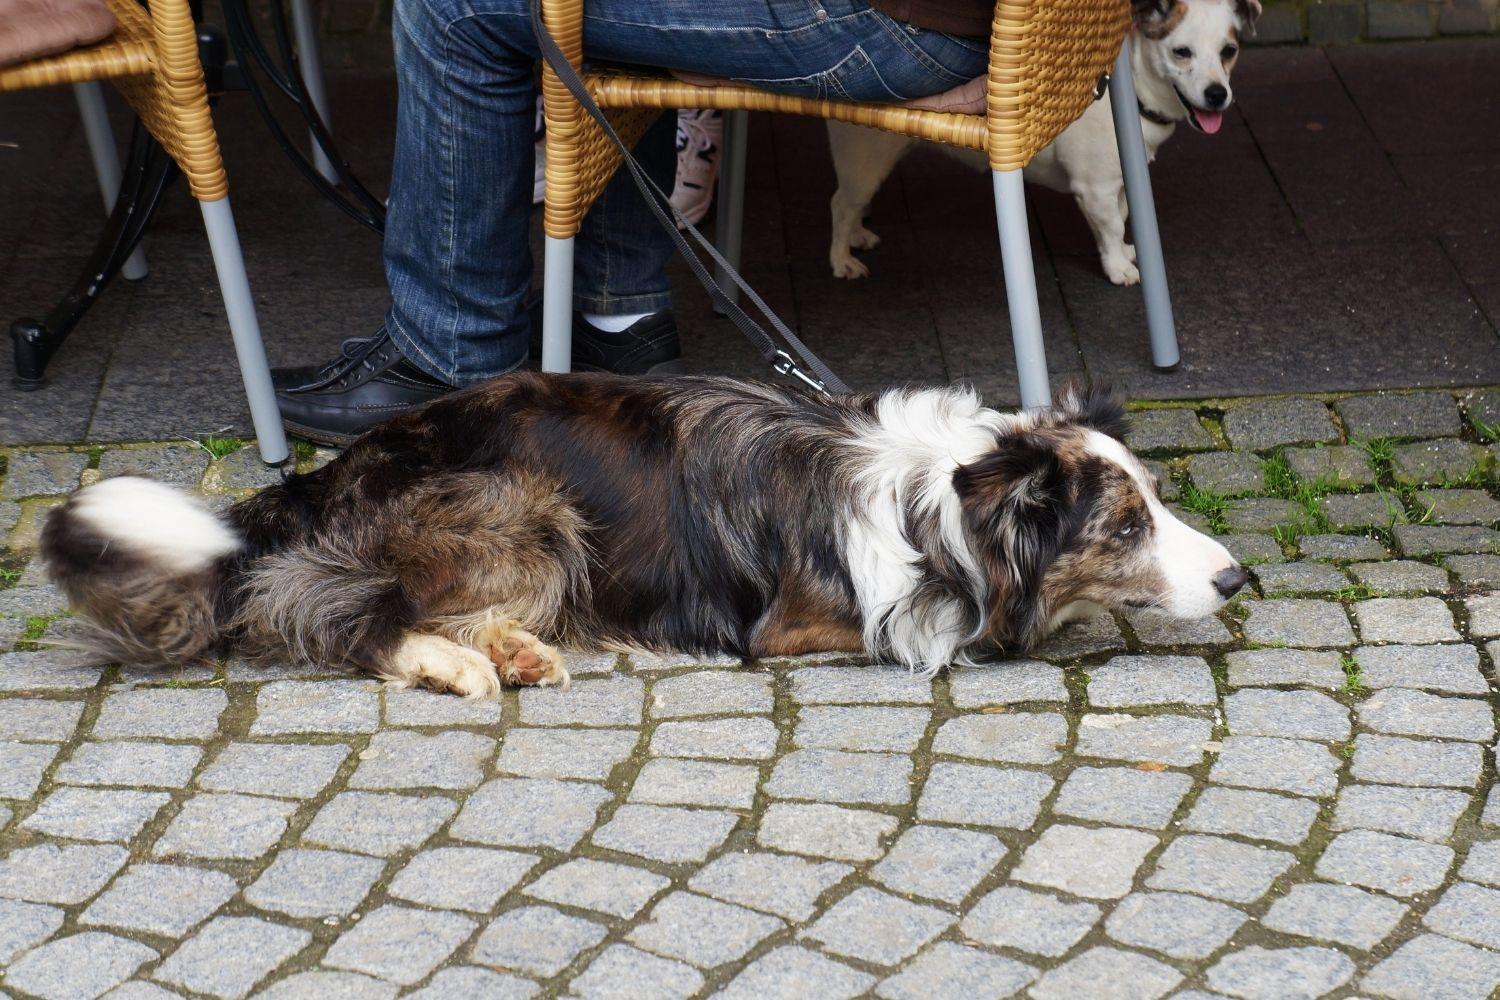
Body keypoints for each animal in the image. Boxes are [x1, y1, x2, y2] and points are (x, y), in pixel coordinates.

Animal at [41, 374, 1248, 695]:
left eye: (1160, 503)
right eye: (1127, 524)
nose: (1241, 579)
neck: (942, 511)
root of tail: (325, 472)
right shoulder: (792, 628)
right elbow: (919, 630)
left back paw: (522, 650)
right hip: (525, 505)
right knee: (340, 612)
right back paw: (458, 663)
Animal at [828, 0, 1260, 284]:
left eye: (1229, 51)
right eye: (1181, 53)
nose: (1218, 95)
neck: (1137, 92)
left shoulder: (1116, 184)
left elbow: (1120, 220)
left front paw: (1122, 253)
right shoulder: (1095, 189)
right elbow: (1110, 227)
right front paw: (1118, 268)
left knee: (850, 202)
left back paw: (857, 237)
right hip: (867, 160)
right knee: (841, 204)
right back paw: (841, 260)